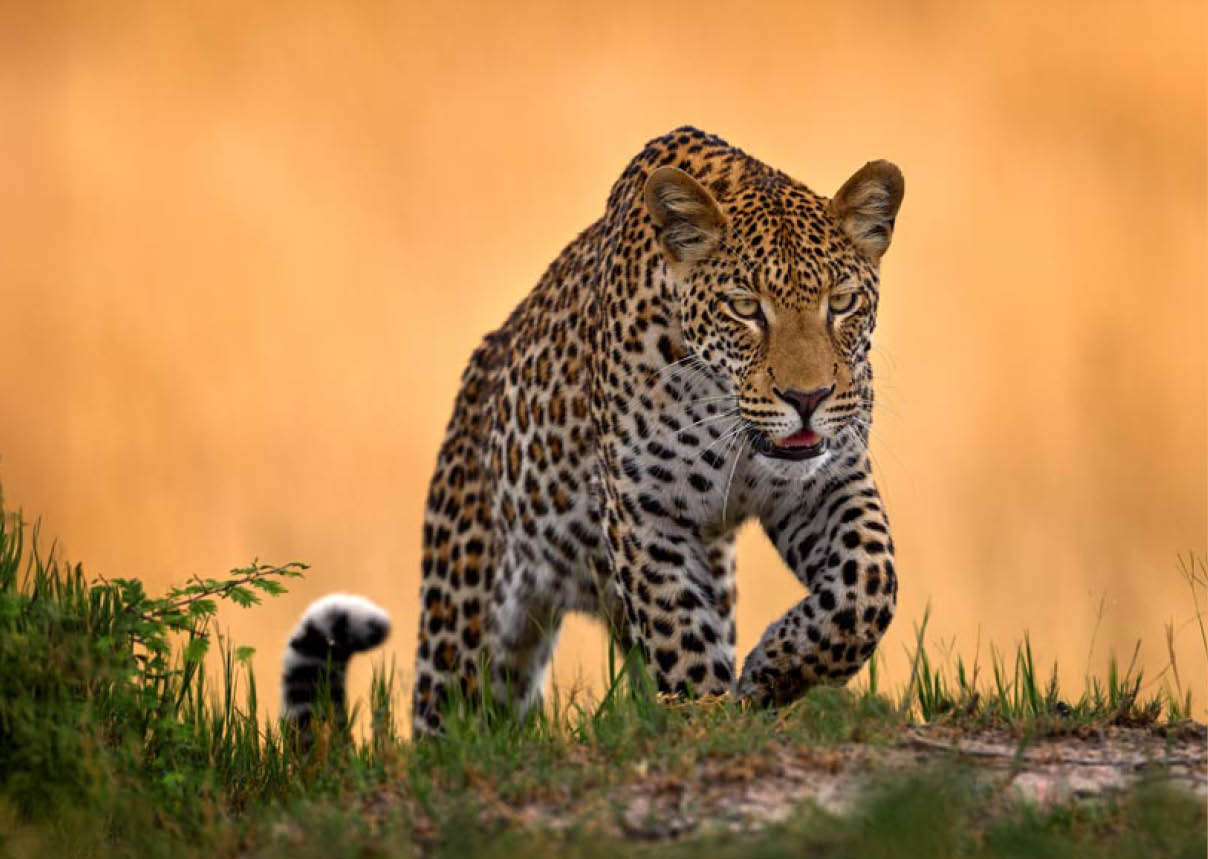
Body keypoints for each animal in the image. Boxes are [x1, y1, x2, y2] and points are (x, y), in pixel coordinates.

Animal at [280, 127, 904, 737]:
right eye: (745, 308)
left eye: (842, 302)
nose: (807, 398)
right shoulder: (643, 506)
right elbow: (678, 625)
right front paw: (705, 714)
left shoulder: (829, 481)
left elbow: (869, 584)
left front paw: (778, 668)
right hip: (461, 620)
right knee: (449, 718)